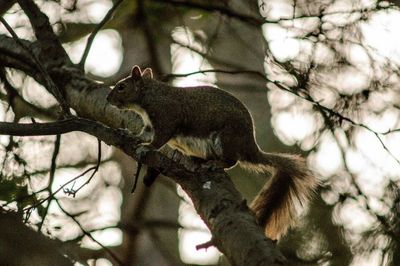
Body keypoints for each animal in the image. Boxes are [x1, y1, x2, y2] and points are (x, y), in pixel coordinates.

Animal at [105, 65, 316, 240]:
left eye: (121, 87)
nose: (107, 98)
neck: (149, 96)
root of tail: (250, 147)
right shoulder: (149, 126)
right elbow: (144, 134)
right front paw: (130, 134)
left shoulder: (167, 117)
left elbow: (158, 140)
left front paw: (146, 147)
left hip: (226, 138)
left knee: (232, 160)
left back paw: (214, 164)